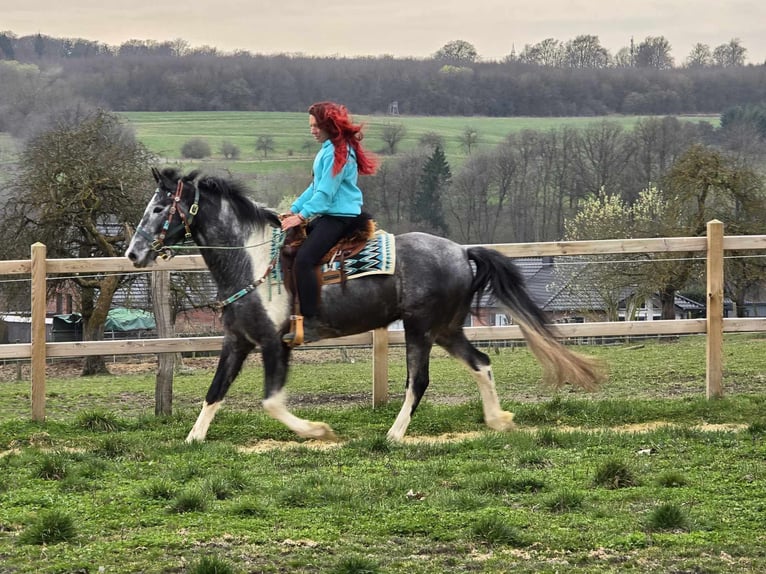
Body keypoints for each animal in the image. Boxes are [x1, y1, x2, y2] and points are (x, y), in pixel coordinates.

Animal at [126, 167, 604, 443]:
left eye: (158, 208)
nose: (133, 253)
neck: (251, 260)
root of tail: (461, 251)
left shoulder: (274, 344)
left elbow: (272, 402)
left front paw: (317, 430)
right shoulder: (237, 342)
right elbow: (214, 392)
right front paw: (193, 439)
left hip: (419, 329)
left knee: (419, 382)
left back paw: (393, 435)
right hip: (446, 329)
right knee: (481, 363)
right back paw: (498, 421)